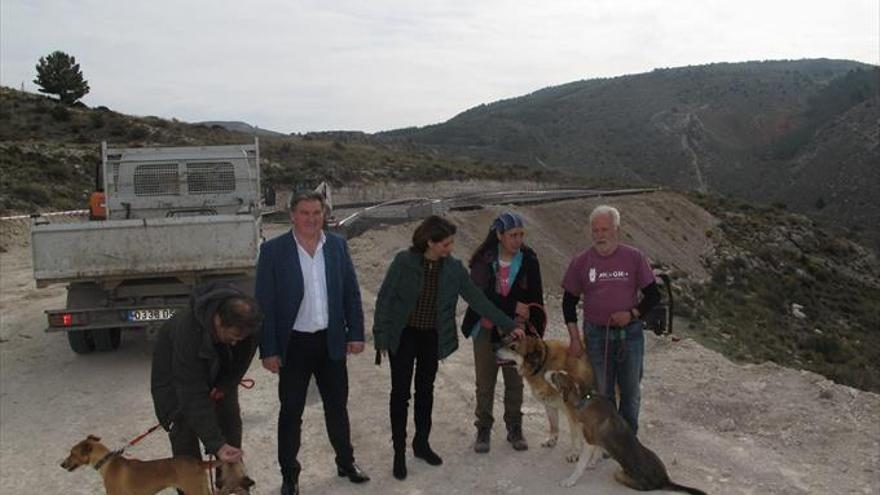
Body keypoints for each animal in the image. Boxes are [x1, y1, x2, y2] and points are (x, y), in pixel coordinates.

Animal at [60, 436, 254, 494]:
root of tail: (198, 462)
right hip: (202, 488)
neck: (107, 462)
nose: (61, 464)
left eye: (72, 453)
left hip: (194, 490)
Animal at [496, 336, 600, 464]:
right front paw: (552, 440)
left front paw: (574, 453)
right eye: (508, 342)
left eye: (513, 347)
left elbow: (574, 434)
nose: (494, 349)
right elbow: (554, 425)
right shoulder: (550, 405)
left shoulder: (572, 412)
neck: (543, 363)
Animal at [544, 374, 708, 494]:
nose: (547, 373)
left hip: (621, 474)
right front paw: (593, 463)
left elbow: (579, 466)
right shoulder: (597, 441)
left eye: (557, 376)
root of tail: (665, 480)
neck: (586, 399)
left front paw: (570, 481)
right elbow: (597, 453)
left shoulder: (590, 441)